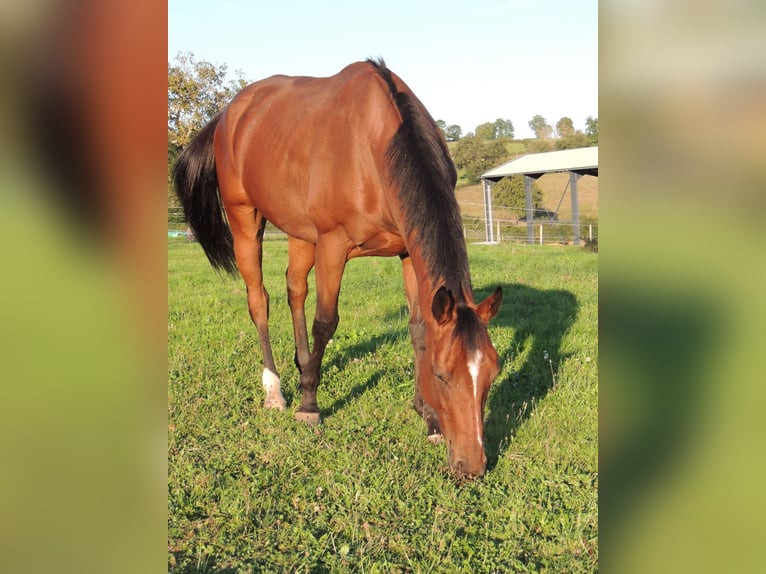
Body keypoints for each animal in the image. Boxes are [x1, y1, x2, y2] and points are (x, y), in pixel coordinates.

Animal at [174, 59, 504, 482]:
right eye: (443, 375)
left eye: (491, 374)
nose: (473, 465)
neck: (377, 145)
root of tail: (231, 113)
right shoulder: (333, 245)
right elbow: (325, 322)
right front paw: (309, 407)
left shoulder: (407, 252)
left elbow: (418, 328)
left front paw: (427, 418)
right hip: (245, 219)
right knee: (259, 300)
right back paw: (276, 390)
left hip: (300, 233)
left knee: (294, 288)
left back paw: (301, 366)